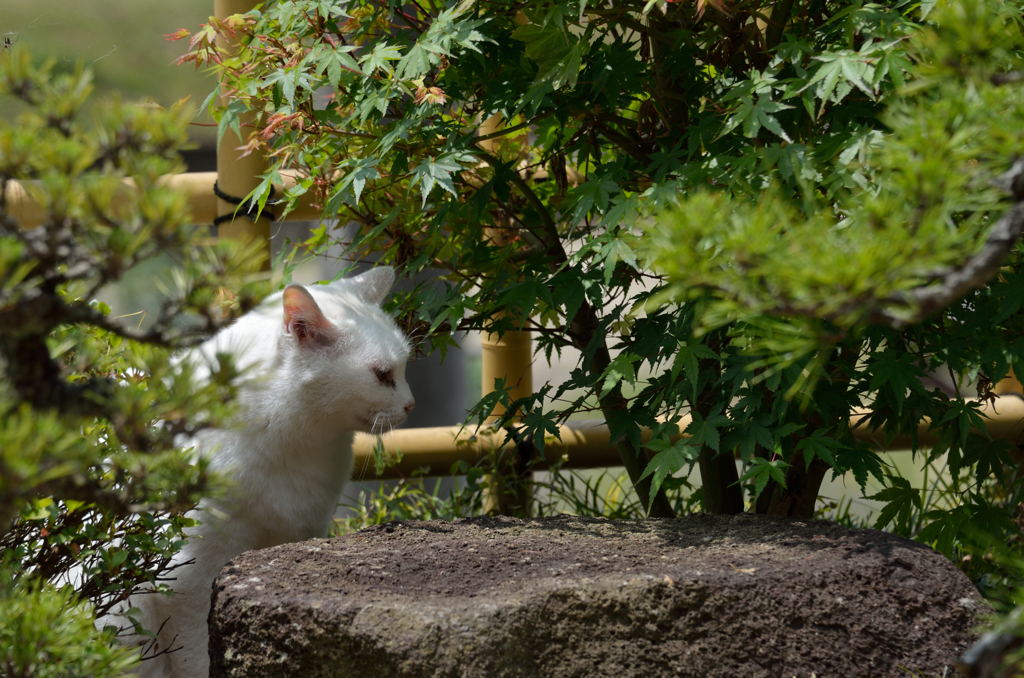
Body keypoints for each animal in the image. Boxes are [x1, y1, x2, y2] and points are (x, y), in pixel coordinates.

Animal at [122, 268, 415, 675]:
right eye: (383, 375)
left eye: (403, 368)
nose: (411, 404)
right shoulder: (186, 580)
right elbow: (196, 657)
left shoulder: (296, 535)